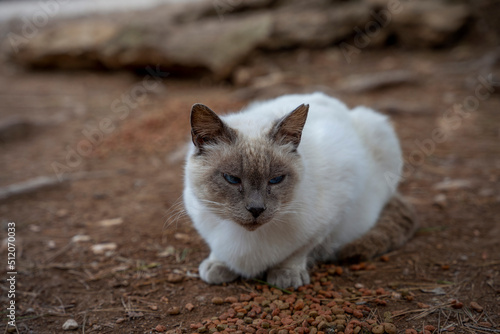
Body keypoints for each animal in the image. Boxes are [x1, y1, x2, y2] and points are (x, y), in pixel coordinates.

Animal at [182, 92, 416, 290]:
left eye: (275, 180)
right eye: (232, 179)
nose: (256, 209)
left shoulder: (334, 212)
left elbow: (300, 249)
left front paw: (286, 274)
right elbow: (216, 248)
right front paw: (217, 265)